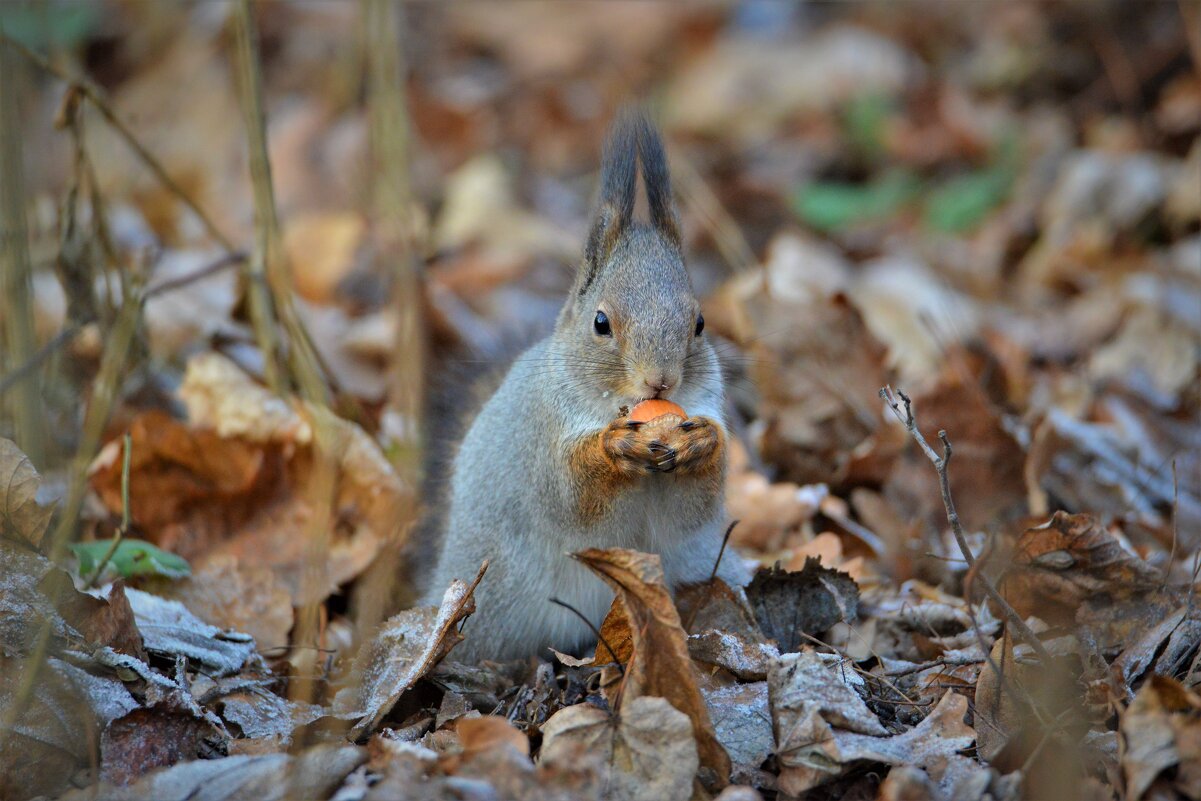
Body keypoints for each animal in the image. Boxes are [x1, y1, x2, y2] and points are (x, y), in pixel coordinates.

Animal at [417, 112, 744, 662]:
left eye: (699, 324)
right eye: (600, 323)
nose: (661, 379)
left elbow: (693, 507)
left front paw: (702, 442)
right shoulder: (542, 435)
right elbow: (569, 495)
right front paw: (614, 448)